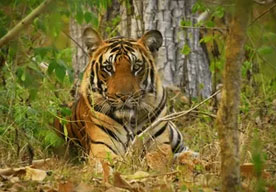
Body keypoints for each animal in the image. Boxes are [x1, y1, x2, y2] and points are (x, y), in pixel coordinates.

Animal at [54, 27, 191, 160]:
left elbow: (157, 159)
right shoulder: (101, 148)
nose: (124, 96)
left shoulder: (161, 144)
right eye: (108, 68)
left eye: (136, 67)